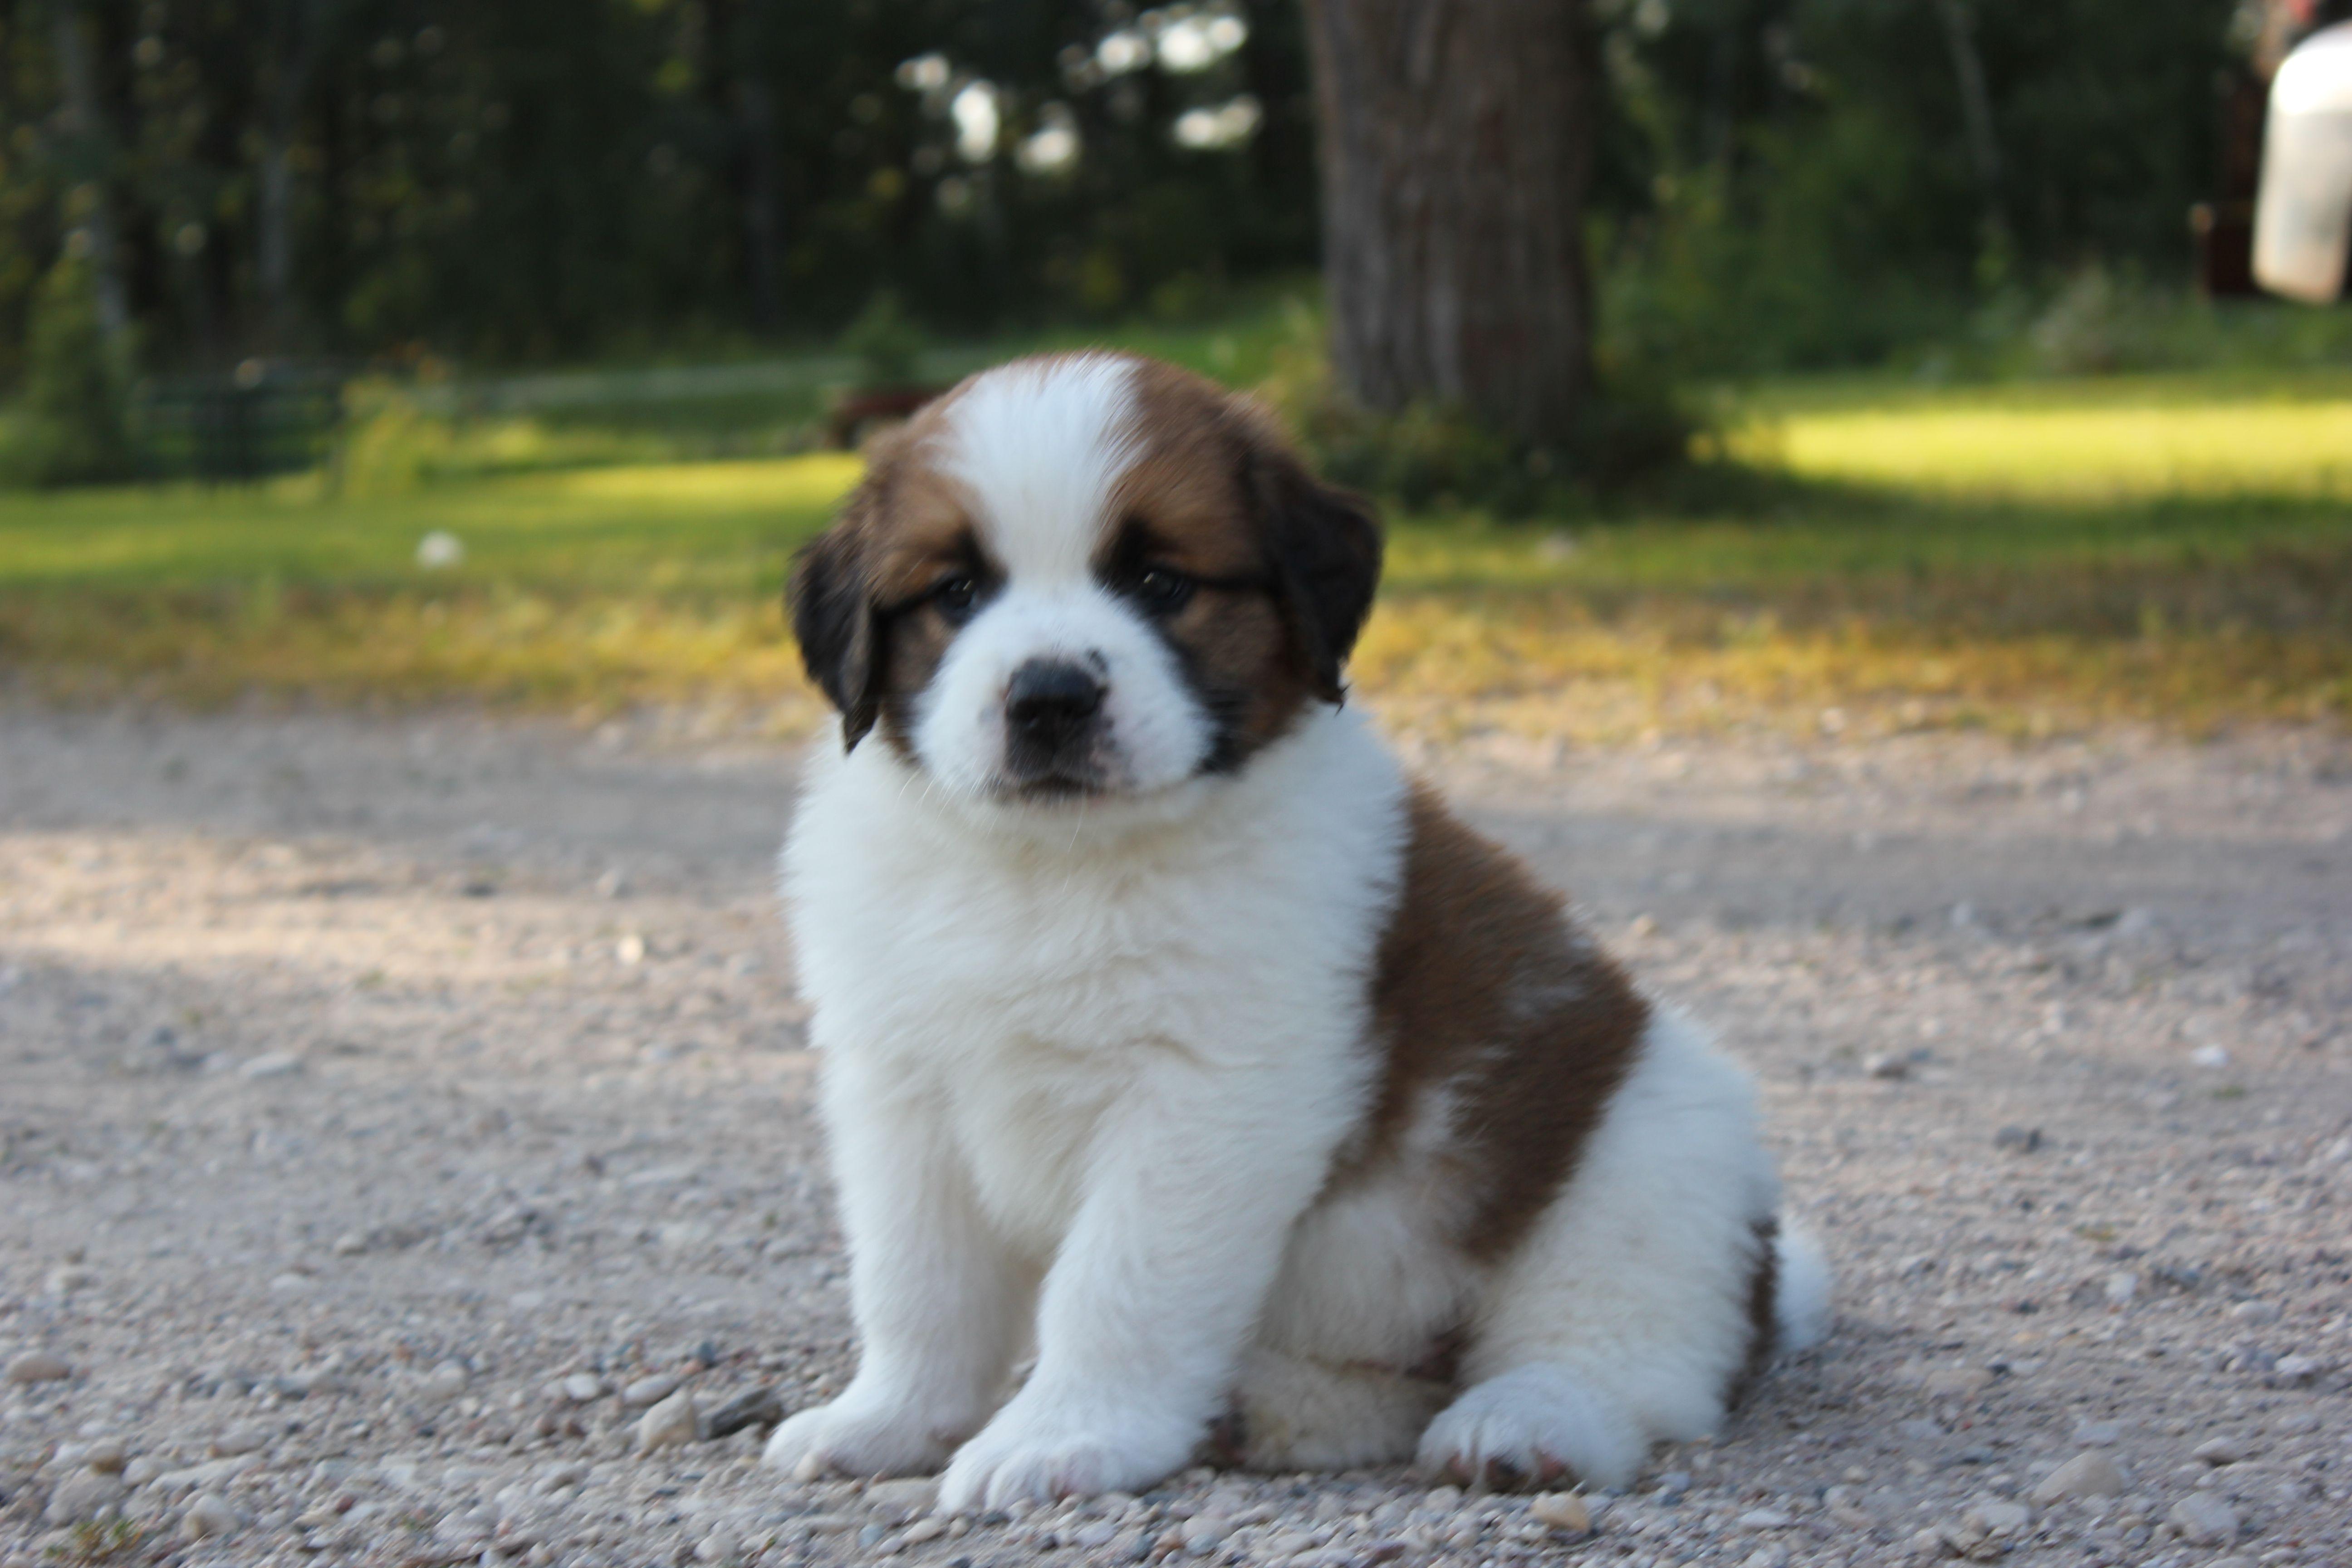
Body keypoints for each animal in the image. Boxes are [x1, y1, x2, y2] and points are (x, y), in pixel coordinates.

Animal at [771, 353, 1834, 1504]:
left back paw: (1522, 1420)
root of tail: (1768, 1278)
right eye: (956, 594)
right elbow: (918, 1280)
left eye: (1161, 584)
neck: (1053, 866)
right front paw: (888, 1418)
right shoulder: (901, 1090)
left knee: (1621, 1355)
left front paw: (1062, 1436)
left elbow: (1117, 1284)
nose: (1049, 697)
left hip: (1644, 1166)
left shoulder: (1204, 1099)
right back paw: (1267, 1409)